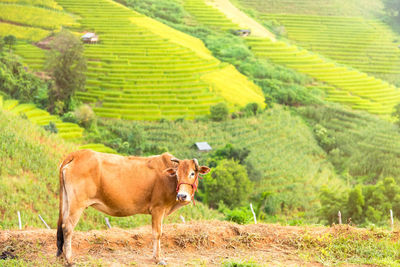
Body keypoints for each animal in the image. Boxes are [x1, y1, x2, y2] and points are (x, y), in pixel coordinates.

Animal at [57, 151, 211, 266]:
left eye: (192, 173)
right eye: (177, 174)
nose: (182, 195)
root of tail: (78, 153)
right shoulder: (158, 209)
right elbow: (157, 233)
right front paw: (158, 258)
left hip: (66, 201)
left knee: (62, 225)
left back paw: (62, 256)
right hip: (77, 204)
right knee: (68, 228)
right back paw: (69, 260)